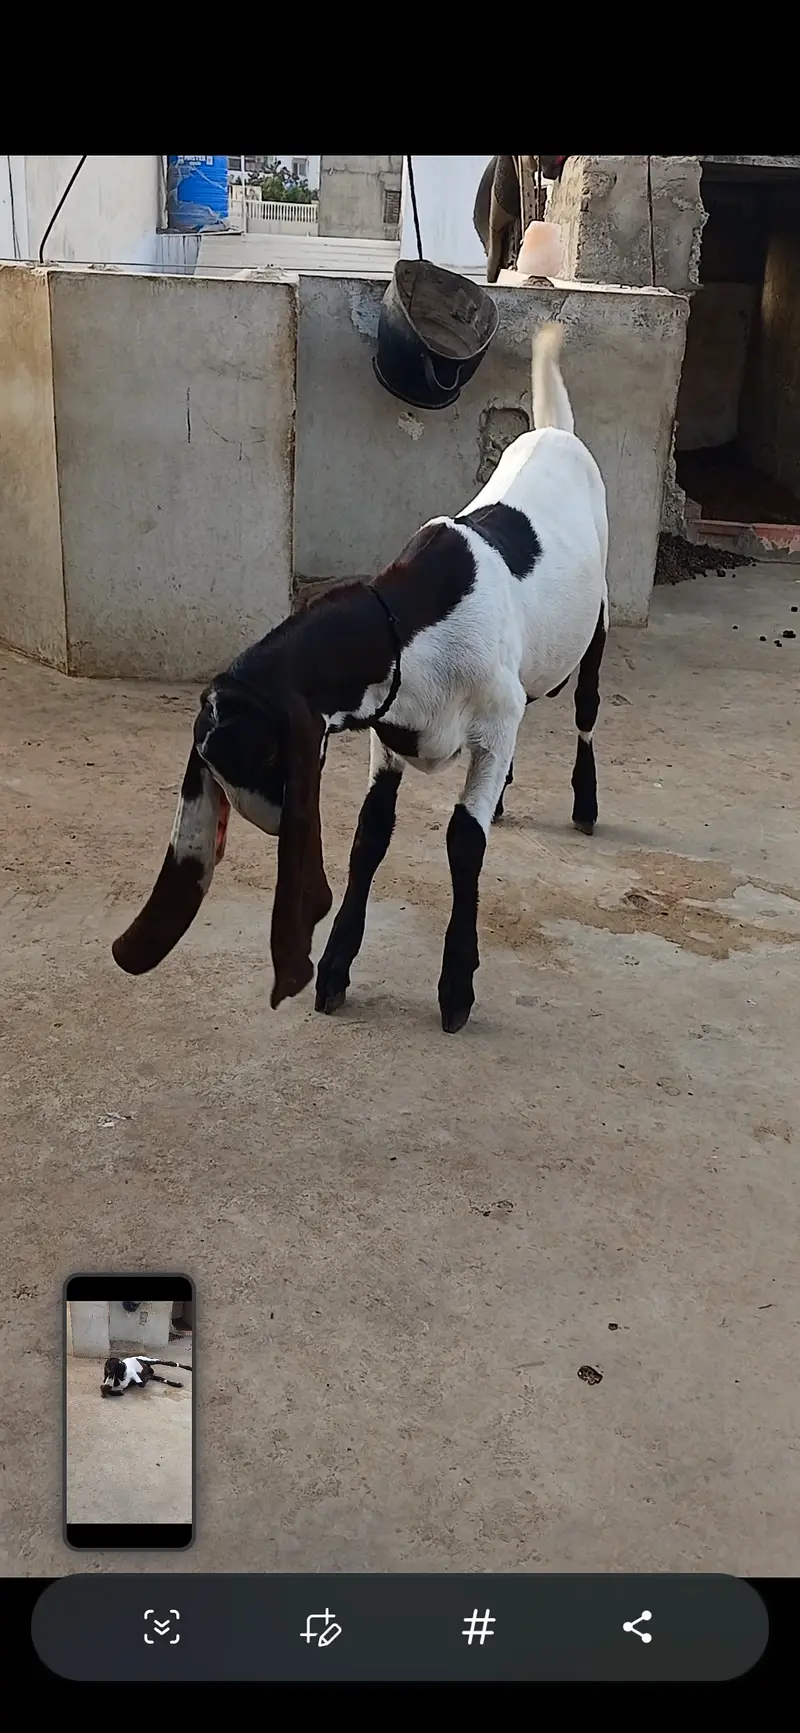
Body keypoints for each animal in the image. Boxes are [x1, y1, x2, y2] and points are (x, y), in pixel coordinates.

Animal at [112, 323, 608, 1032]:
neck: (408, 622)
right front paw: (335, 970)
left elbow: (464, 840)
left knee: (586, 707)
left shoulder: (486, 721)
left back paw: (585, 803)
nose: (265, 822)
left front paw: (456, 987)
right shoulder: (390, 732)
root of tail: (556, 432)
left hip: (597, 622)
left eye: (259, 753)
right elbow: (369, 836)